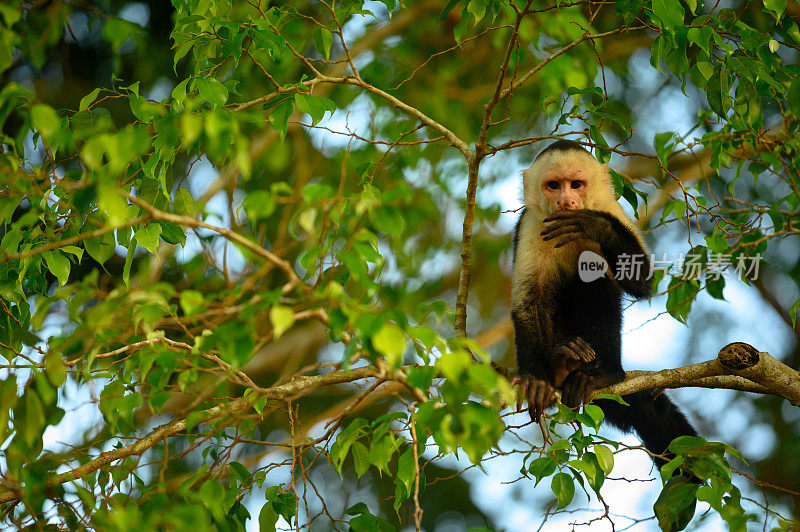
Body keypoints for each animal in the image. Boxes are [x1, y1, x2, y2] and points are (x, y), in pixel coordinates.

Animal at [512, 139, 692, 468]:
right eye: (553, 186)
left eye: (576, 185)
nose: (566, 202)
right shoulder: (530, 224)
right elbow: (529, 300)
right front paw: (536, 380)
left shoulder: (612, 210)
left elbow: (641, 281)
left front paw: (594, 226)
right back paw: (559, 362)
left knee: (594, 277)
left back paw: (601, 373)